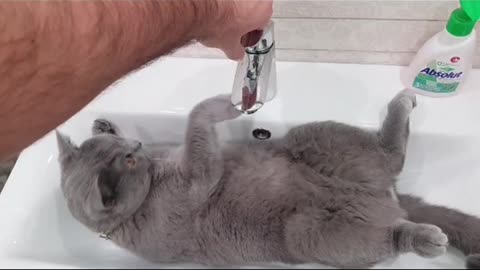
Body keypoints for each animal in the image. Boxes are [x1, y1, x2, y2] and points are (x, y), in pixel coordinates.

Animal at [54, 89, 480, 268]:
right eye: (127, 159)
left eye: (122, 149)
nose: (136, 144)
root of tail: (383, 197)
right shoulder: (197, 175)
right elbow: (196, 121)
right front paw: (225, 103)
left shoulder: (173, 152)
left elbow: (187, 133)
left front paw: (102, 121)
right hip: (312, 235)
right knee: (391, 230)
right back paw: (426, 239)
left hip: (315, 138)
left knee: (390, 154)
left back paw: (403, 102)